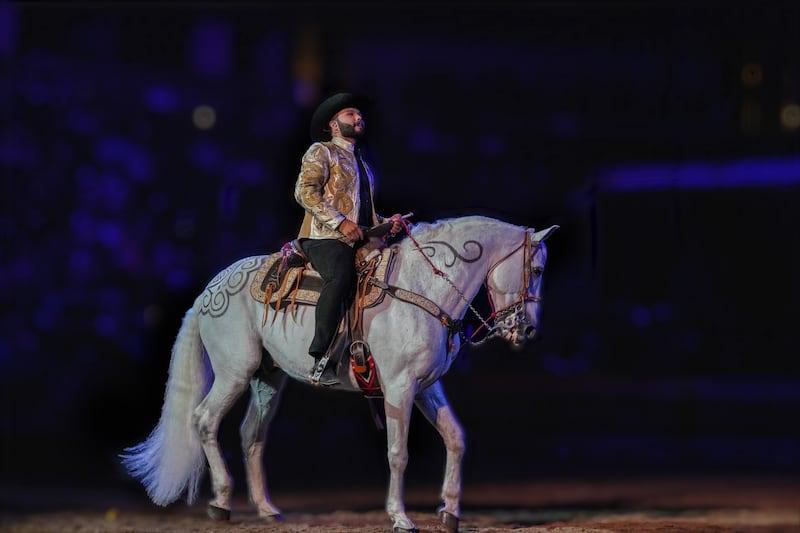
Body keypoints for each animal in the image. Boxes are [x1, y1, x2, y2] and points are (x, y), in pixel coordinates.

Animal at [122, 215, 556, 532]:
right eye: (535, 269)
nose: (528, 330)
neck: (421, 289)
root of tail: (208, 292)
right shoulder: (399, 388)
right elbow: (398, 453)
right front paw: (400, 517)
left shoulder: (426, 388)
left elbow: (455, 439)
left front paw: (449, 512)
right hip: (234, 373)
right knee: (205, 421)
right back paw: (221, 502)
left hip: (268, 378)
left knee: (251, 434)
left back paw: (266, 509)